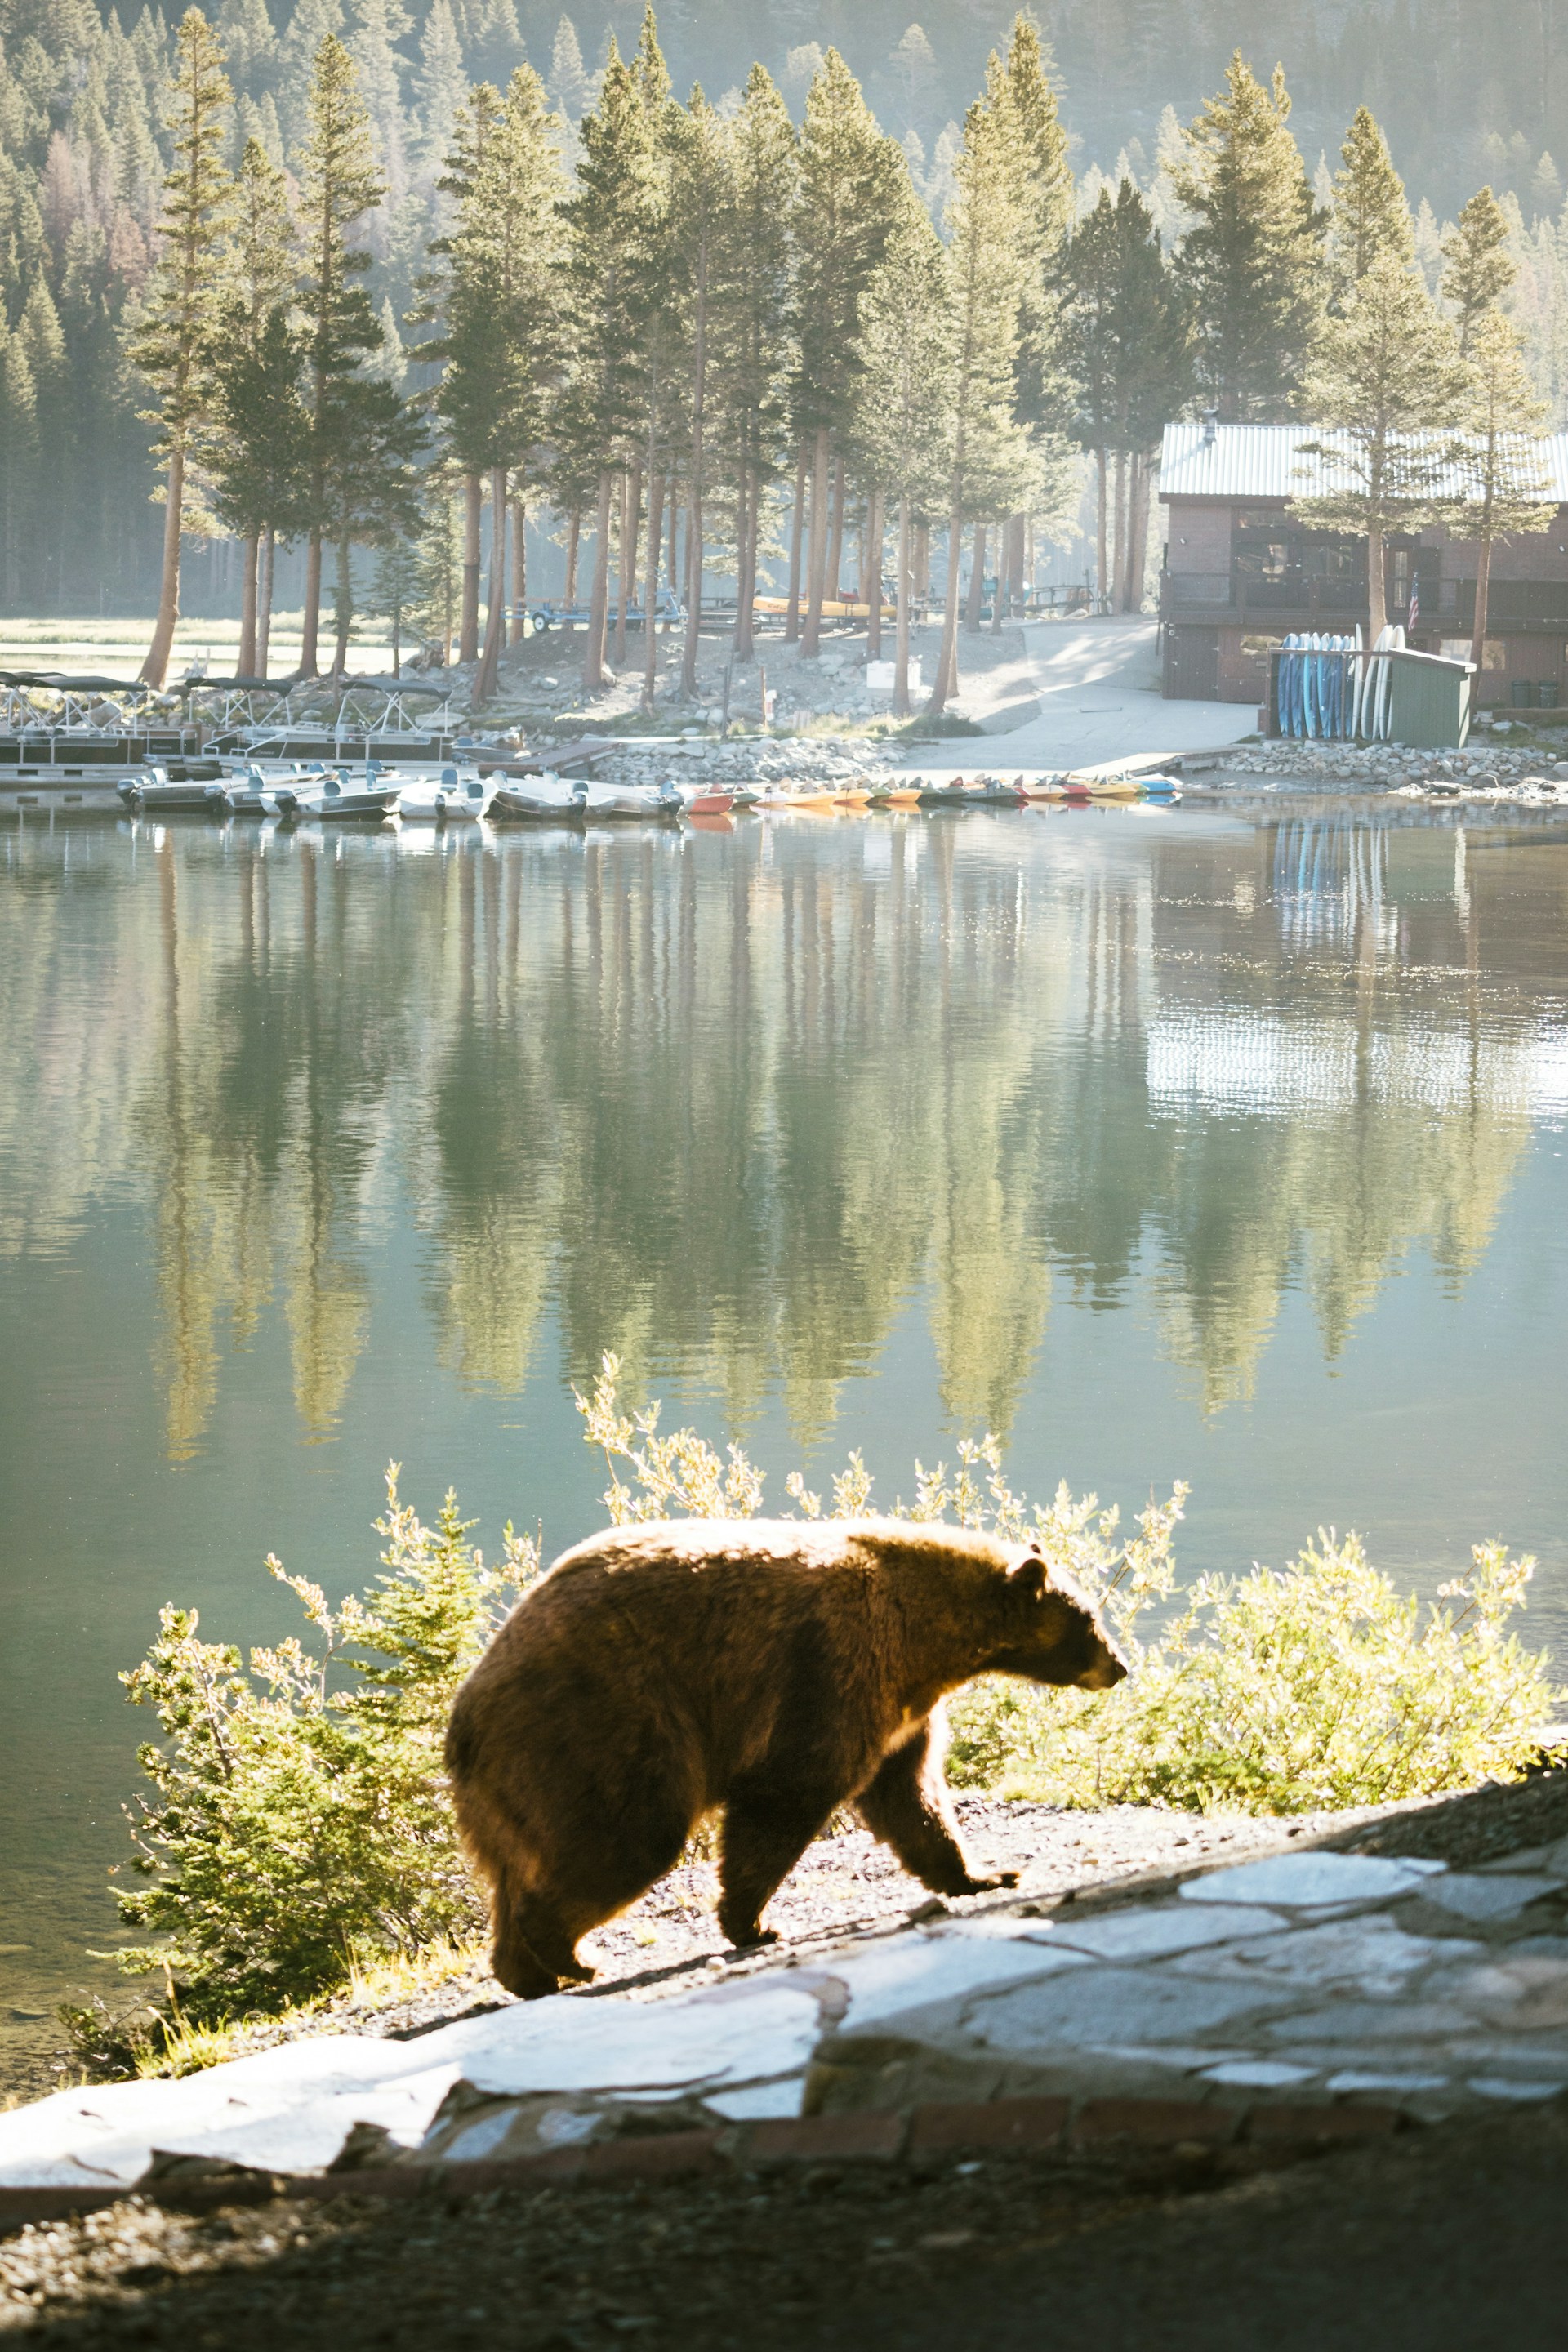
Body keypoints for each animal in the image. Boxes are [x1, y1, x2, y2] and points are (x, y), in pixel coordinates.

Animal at [444, 1514, 1128, 1994]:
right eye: (1089, 1619)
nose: (1120, 1666)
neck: (926, 1639)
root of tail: (467, 1718)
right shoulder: (833, 1666)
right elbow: (792, 1790)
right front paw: (754, 1923)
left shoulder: (902, 1709)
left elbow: (912, 1796)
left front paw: (986, 1874)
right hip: (605, 1725)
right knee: (630, 1837)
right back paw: (572, 1955)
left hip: (516, 1785)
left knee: (517, 1870)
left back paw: (526, 1973)